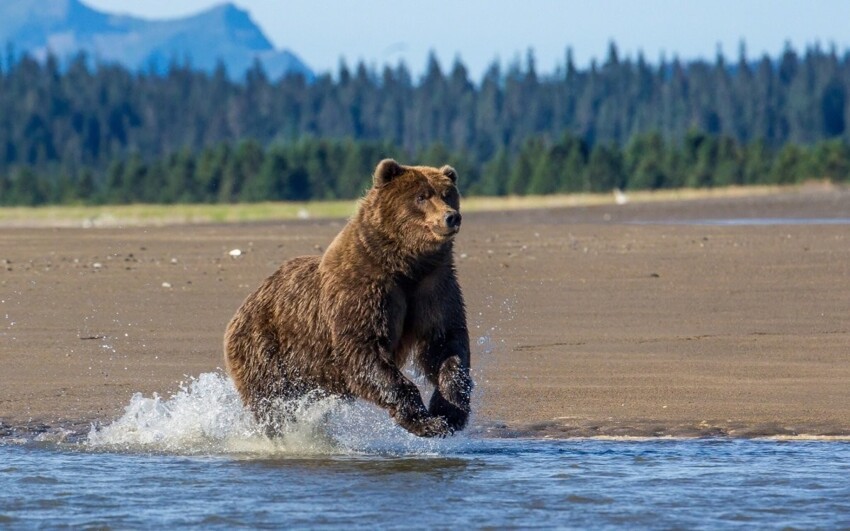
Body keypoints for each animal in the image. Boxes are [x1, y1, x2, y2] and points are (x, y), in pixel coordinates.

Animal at [224, 159, 470, 436]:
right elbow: (364, 348)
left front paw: (449, 412)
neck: (405, 265)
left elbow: (445, 343)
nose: (451, 217)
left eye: (448, 194)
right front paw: (426, 421)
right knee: (272, 399)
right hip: (265, 347)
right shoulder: (362, 290)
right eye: (421, 196)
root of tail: (243, 307)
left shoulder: (434, 286)